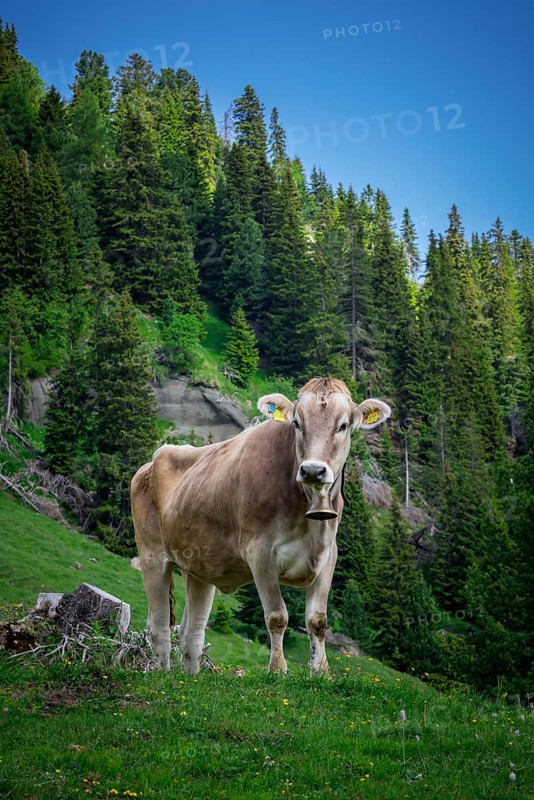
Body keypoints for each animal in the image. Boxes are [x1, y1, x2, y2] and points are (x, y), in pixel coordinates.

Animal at [131, 377, 391, 674]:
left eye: (344, 425)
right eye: (297, 423)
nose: (313, 470)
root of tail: (153, 460)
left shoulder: (328, 557)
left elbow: (317, 620)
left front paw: (322, 673)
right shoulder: (260, 553)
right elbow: (277, 616)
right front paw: (278, 670)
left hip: (198, 567)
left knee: (191, 633)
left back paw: (191, 678)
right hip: (153, 555)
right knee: (160, 626)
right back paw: (163, 673)